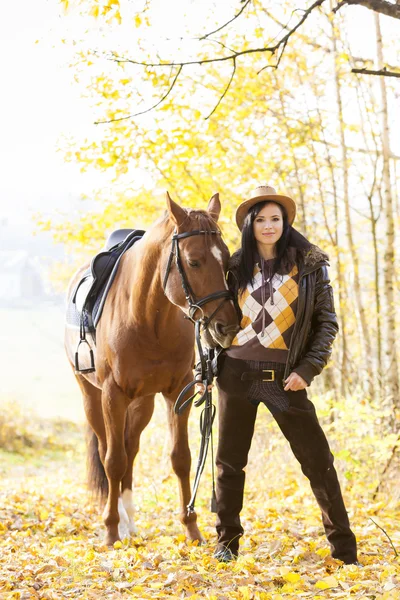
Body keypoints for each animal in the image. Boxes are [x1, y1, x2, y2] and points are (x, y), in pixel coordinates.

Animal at [64, 192, 239, 544]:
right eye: (194, 261)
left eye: (226, 258)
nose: (226, 327)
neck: (148, 318)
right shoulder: (112, 395)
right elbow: (112, 461)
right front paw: (110, 531)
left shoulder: (177, 393)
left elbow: (181, 458)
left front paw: (191, 528)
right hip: (92, 397)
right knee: (109, 449)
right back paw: (118, 519)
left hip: (142, 402)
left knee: (131, 448)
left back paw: (129, 519)